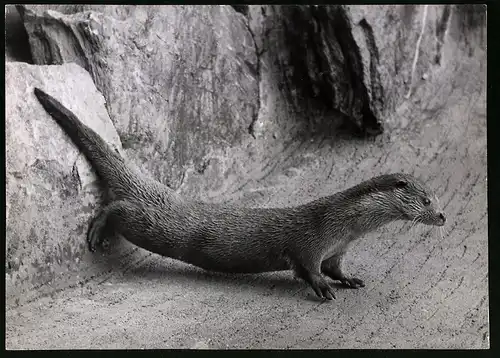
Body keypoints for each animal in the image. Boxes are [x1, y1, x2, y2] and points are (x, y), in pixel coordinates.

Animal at [32, 87, 446, 300]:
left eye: (437, 199)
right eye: (427, 199)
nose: (442, 216)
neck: (341, 225)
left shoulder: (337, 249)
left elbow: (335, 268)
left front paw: (349, 280)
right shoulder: (310, 242)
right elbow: (307, 268)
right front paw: (323, 289)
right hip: (147, 224)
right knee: (117, 209)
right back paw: (95, 231)